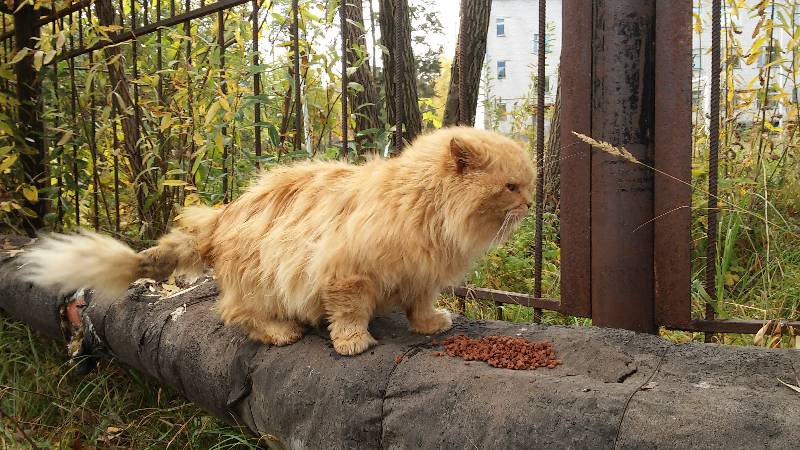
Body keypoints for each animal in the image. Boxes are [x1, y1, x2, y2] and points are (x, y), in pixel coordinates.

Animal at [20, 126, 535, 355]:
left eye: (526, 184)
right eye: (511, 187)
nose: (531, 202)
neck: (425, 207)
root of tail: (221, 217)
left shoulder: (422, 277)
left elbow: (420, 307)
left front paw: (431, 326)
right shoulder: (345, 274)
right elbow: (349, 314)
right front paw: (354, 343)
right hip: (258, 285)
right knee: (237, 315)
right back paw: (283, 332)